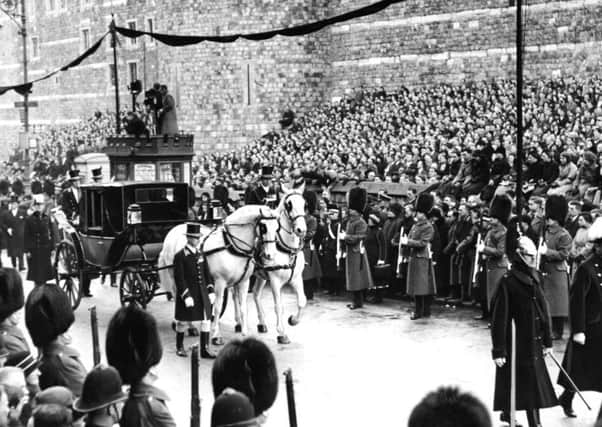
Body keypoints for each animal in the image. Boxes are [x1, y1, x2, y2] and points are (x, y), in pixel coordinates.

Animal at [157, 206, 278, 346]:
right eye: (263, 227)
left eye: (277, 227)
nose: (270, 255)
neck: (231, 245)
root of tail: (173, 231)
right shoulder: (220, 282)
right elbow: (218, 307)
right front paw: (216, 335)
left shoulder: (244, 282)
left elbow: (243, 307)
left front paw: (245, 333)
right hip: (175, 276)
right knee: (179, 296)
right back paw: (186, 325)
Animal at [251, 186, 308, 344]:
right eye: (289, 204)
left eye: (304, 204)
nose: (301, 230)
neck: (286, 248)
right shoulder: (275, 281)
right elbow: (279, 306)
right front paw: (282, 333)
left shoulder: (296, 278)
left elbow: (302, 301)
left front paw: (293, 320)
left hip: (260, 276)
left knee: (256, 294)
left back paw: (262, 323)